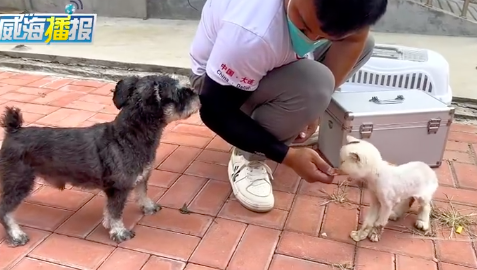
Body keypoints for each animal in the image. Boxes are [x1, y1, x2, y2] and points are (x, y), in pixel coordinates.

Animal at [0, 74, 199, 247]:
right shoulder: (119, 188)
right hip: (19, 182)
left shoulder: (140, 176)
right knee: (5, 210)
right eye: (180, 93)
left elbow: (140, 193)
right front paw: (119, 231)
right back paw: (16, 235)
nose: (197, 95)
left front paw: (147, 207)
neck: (129, 135)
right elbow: (116, 212)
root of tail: (13, 131)